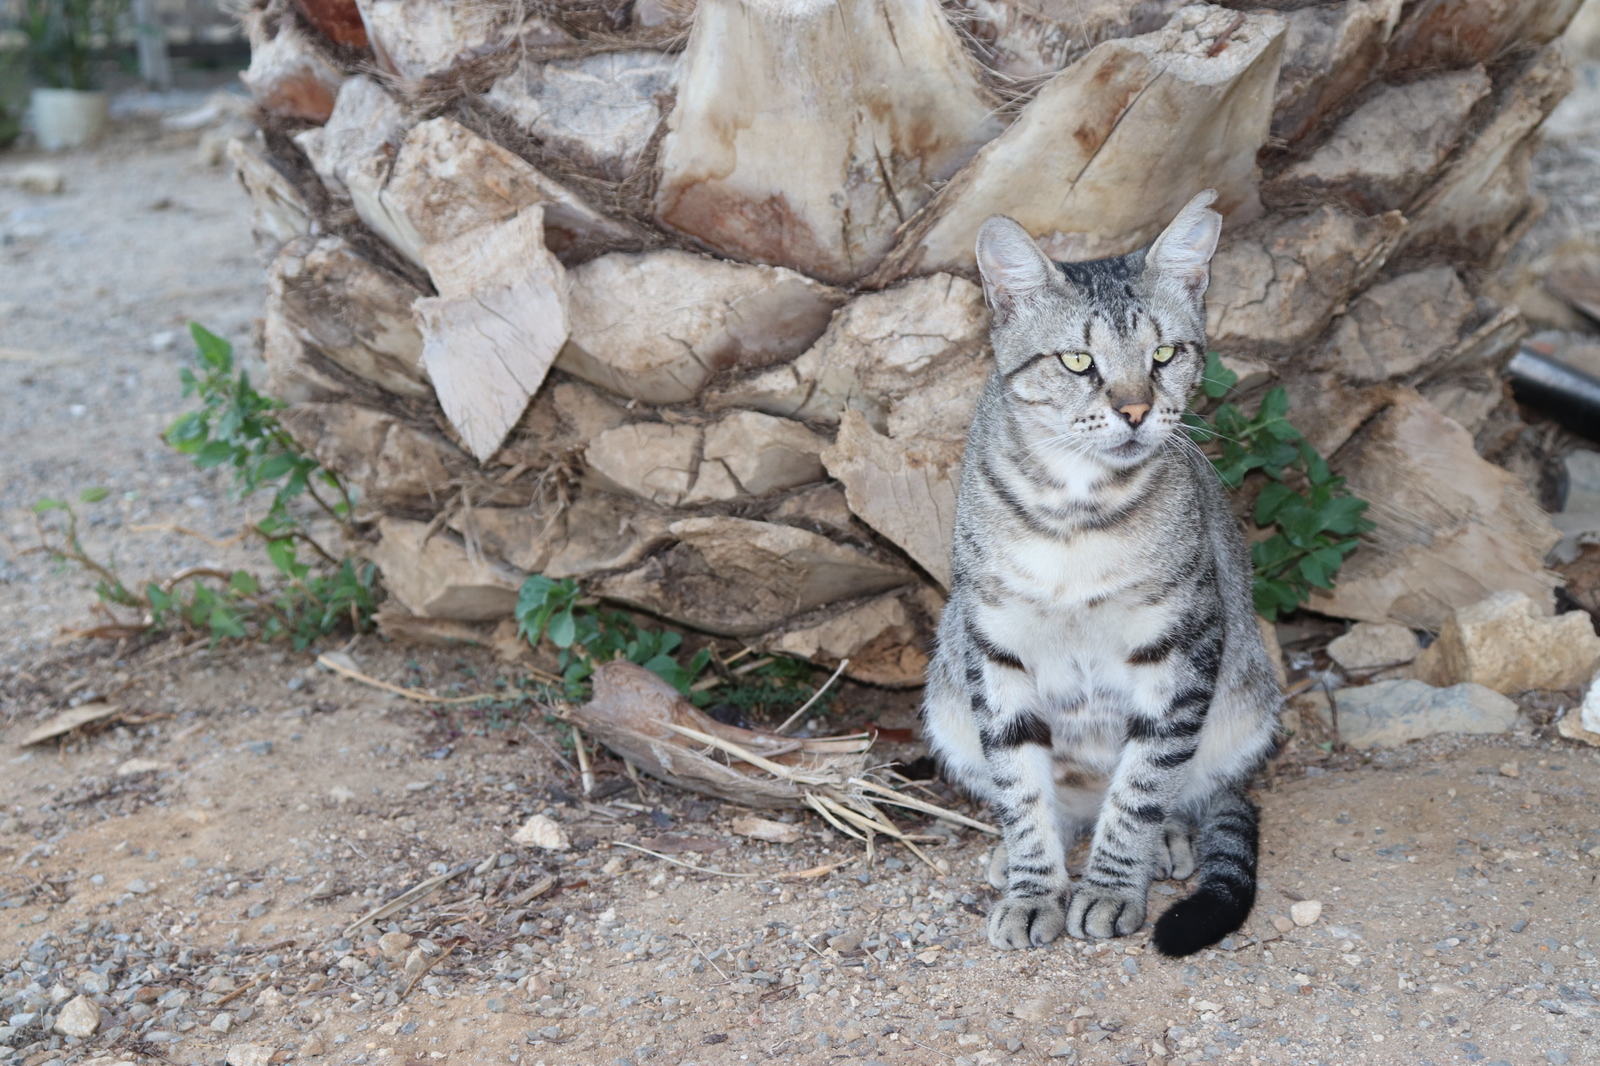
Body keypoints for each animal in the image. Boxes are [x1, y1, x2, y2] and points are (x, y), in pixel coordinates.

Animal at [921, 188, 1280, 953]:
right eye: (1078, 360)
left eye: (1165, 353)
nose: (1136, 409)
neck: (1076, 514)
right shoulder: (994, 647)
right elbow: (1021, 791)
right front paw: (1034, 889)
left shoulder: (1183, 643)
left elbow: (1140, 788)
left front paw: (1113, 887)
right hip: (947, 701)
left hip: (1244, 705)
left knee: (1179, 791)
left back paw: (1166, 841)